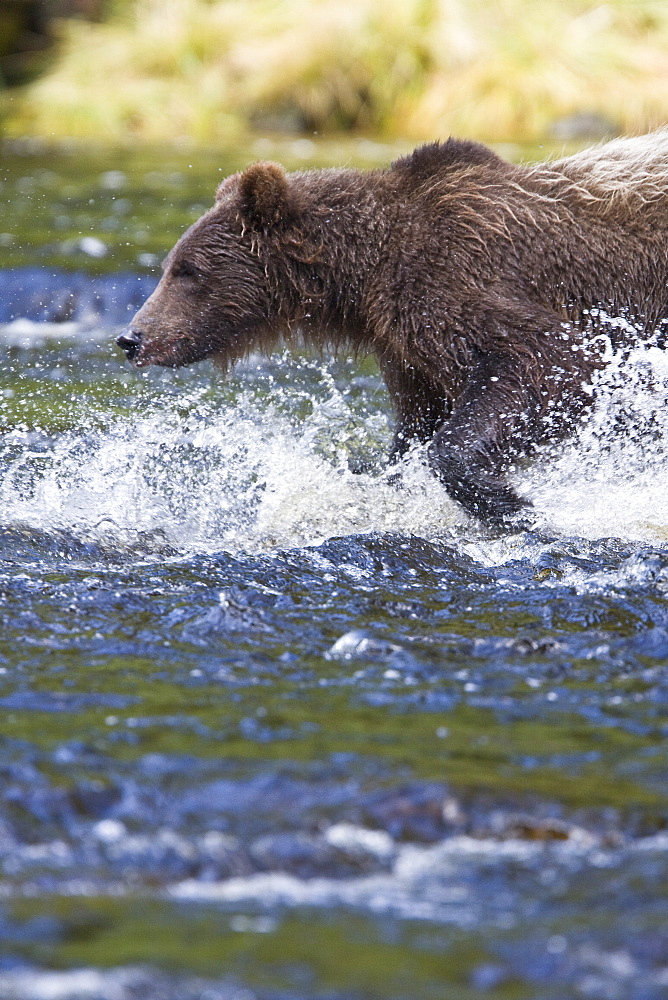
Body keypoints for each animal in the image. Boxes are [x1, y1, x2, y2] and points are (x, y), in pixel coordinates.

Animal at [117, 133, 668, 528]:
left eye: (187, 271)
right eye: (170, 266)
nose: (132, 338)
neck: (365, 275)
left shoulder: (457, 278)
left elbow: (548, 360)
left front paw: (511, 502)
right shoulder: (408, 353)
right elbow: (413, 429)